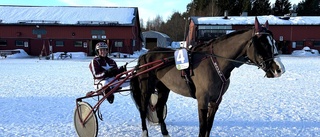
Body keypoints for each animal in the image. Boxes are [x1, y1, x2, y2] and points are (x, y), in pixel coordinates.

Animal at [130, 17, 284, 137]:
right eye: (262, 43)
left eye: (274, 42)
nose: (279, 69)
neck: (215, 62)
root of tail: (145, 55)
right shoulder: (202, 99)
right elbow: (203, 127)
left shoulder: (216, 101)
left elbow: (208, 127)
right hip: (146, 88)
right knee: (143, 108)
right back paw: (144, 132)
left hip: (163, 88)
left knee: (159, 108)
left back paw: (165, 132)